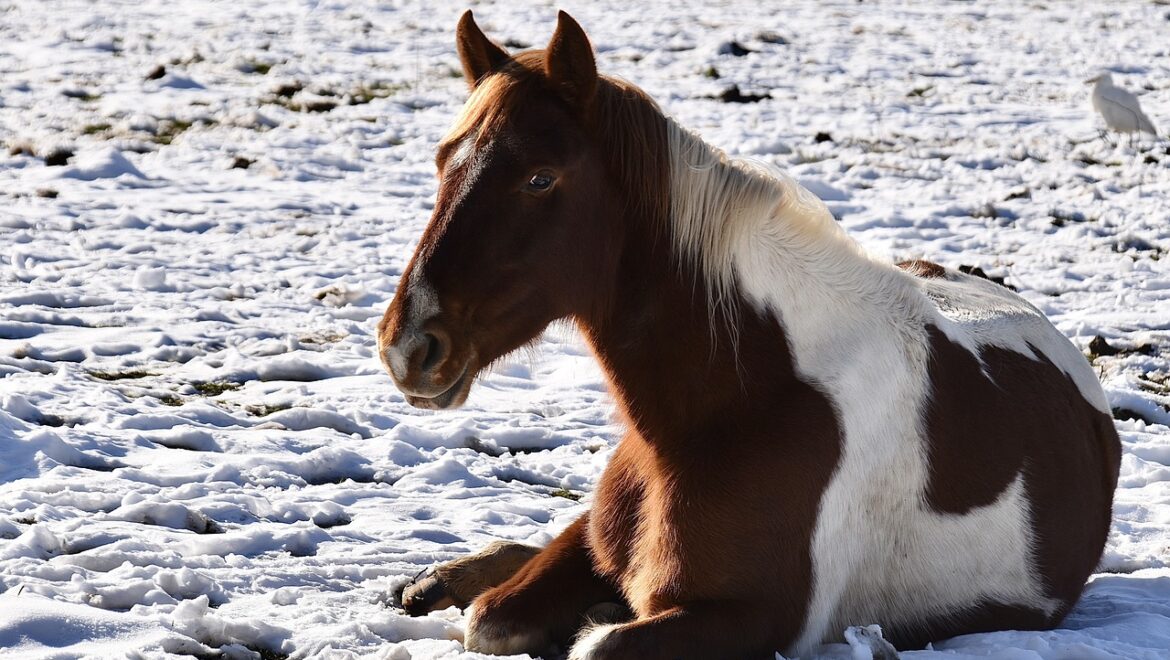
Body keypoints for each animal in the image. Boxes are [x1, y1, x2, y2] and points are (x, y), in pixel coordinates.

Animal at [376, 11, 1123, 660]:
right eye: (443, 162)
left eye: (539, 177)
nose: (408, 347)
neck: (740, 399)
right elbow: (494, 617)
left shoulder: (756, 619)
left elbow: (589, 640)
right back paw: (434, 581)